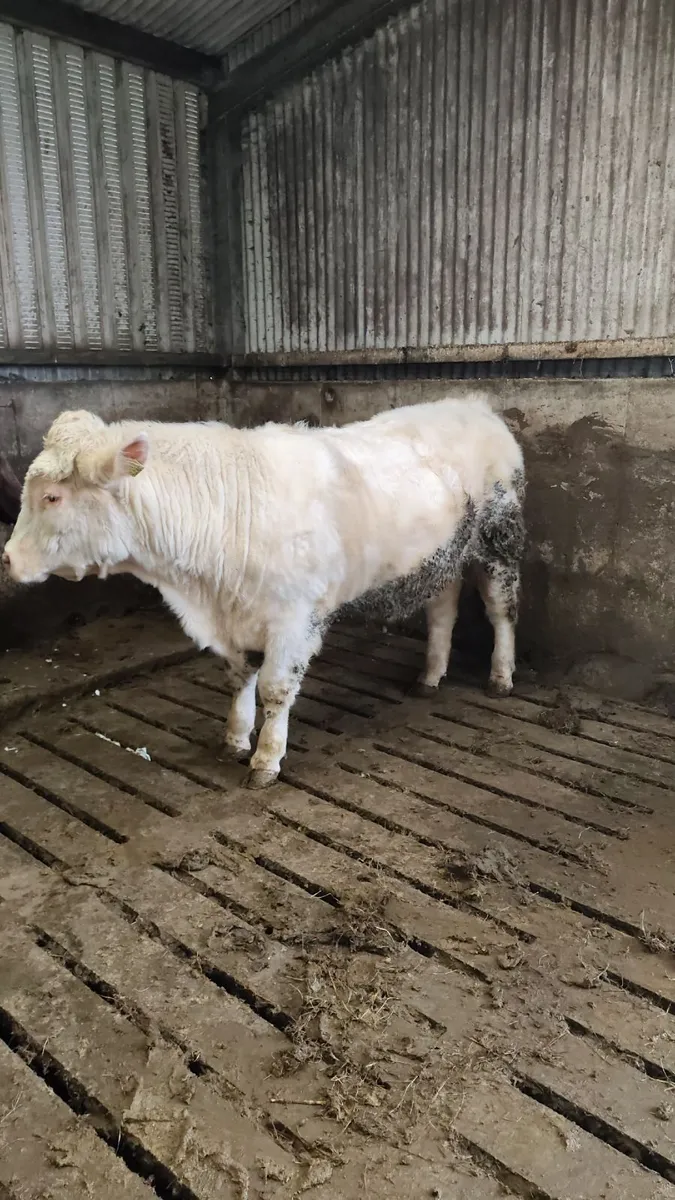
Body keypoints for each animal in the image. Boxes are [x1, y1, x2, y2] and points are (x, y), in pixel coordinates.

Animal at [3, 397, 525, 788]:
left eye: (52, 497)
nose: (6, 559)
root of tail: (473, 405)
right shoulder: (235, 616)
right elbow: (239, 676)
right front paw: (235, 738)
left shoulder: (293, 618)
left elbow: (275, 687)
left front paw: (266, 759)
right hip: (444, 556)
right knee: (443, 611)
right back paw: (430, 675)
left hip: (500, 543)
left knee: (501, 612)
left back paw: (500, 677)